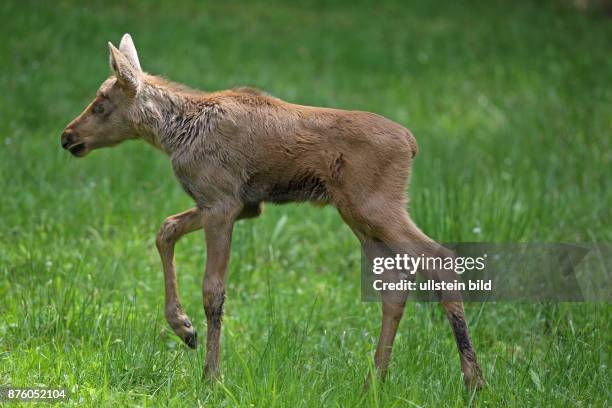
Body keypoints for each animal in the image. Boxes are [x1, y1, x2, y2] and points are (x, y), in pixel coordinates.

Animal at [61, 34, 482, 388]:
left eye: (101, 105)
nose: (67, 136)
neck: (175, 134)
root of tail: (411, 145)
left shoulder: (222, 202)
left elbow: (213, 290)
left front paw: (211, 375)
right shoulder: (240, 205)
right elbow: (165, 229)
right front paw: (183, 329)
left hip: (375, 206)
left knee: (440, 258)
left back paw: (472, 379)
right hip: (359, 216)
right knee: (394, 285)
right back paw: (374, 380)